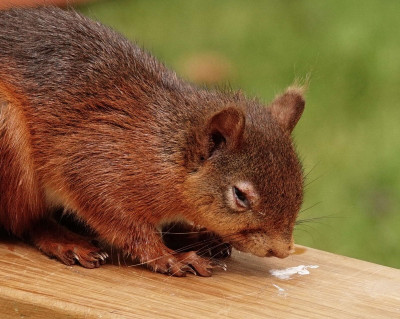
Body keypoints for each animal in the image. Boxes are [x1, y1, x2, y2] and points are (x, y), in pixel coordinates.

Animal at [0, 6, 304, 278]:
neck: (163, 147)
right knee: (26, 222)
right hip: (8, 139)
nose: (282, 250)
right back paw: (64, 241)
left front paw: (191, 236)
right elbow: (124, 224)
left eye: (299, 187)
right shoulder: (95, 163)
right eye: (240, 195)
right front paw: (169, 257)